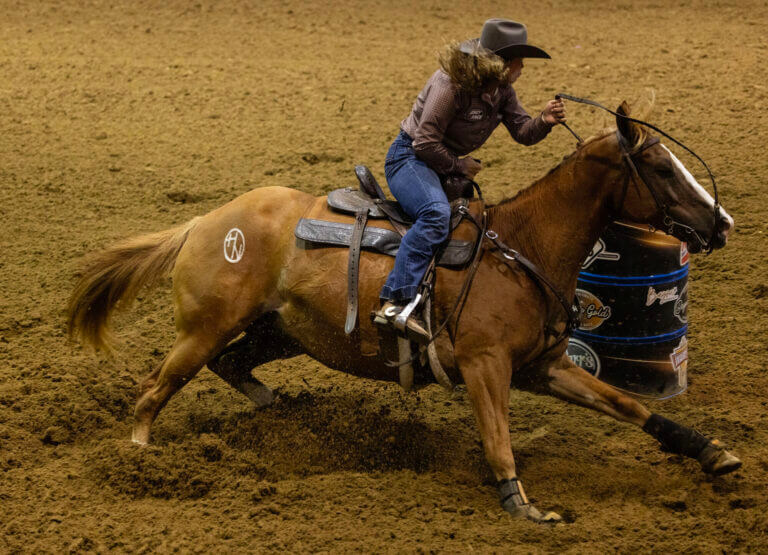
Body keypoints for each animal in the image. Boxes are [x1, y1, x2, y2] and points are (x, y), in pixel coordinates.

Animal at [67, 103, 740, 523]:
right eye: (660, 168)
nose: (723, 223)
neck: (520, 247)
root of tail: (205, 221)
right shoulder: (485, 366)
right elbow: (498, 437)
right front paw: (523, 505)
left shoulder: (544, 365)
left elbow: (630, 406)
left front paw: (714, 454)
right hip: (204, 329)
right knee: (154, 390)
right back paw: (140, 458)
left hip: (283, 331)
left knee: (232, 367)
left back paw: (288, 415)